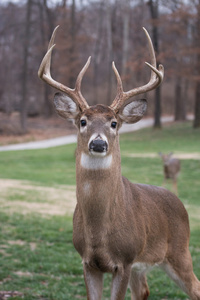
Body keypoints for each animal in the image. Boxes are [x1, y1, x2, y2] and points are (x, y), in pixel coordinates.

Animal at [38, 25, 200, 300]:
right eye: (82, 121)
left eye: (113, 123)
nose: (98, 143)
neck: (98, 233)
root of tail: (180, 203)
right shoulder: (88, 262)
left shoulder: (124, 260)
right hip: (142, 266)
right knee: (143, 291)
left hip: (180, 251)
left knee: (195, 288)